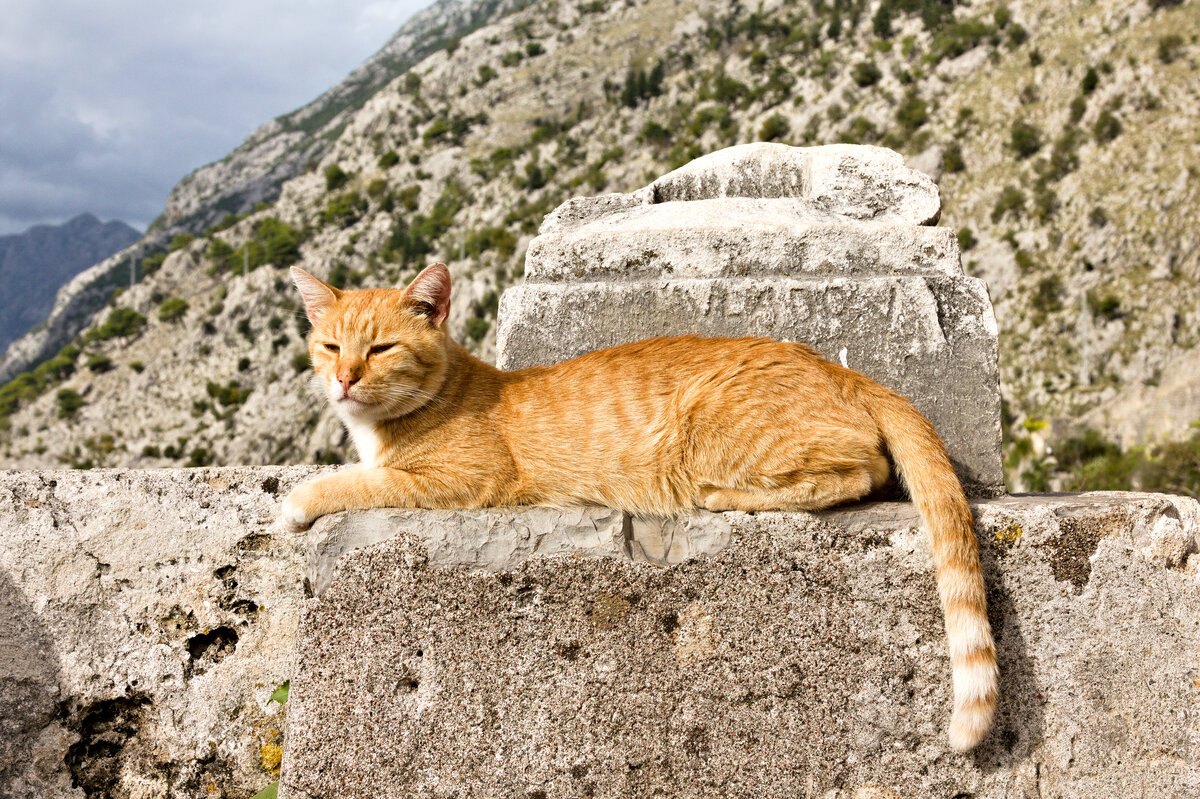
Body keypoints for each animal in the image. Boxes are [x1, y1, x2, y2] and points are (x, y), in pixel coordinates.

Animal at [285, 262, 998, 753]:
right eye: (330, 347)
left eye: (380, 349)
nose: (343, 379)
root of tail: (837, 367)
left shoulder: (462, 478)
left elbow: (357, 480)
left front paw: (297, 502)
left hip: (712, 429)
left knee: (861, 472)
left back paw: (723, 497)